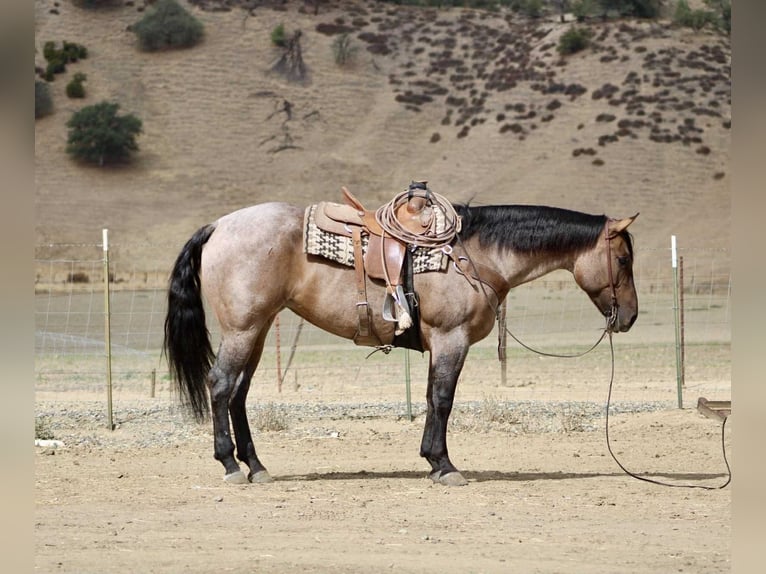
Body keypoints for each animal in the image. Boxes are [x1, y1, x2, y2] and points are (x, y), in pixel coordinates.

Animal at [164, 197, 638, 486]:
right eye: (623, 259)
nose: (630, 317)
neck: (476, 255)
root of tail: (218, 226)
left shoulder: (440, 344)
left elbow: (430, 398)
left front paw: (431, 460)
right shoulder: (451, 340)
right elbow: (443, 400)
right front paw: (444, 465)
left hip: (258, 330)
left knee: (239, 393)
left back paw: (256, 466)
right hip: (243, 330)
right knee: (221, 385)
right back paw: (230, 464)